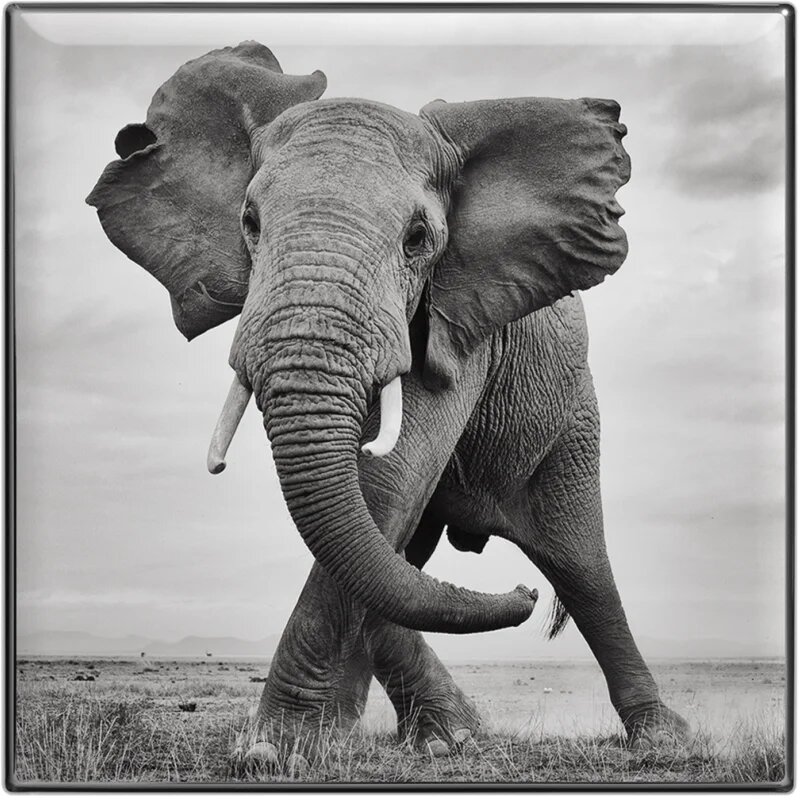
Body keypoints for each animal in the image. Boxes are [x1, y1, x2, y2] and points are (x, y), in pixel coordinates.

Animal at [87, 42, 689, 767]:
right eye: (249, 224)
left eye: (418, 237)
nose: (521, 595)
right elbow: (377, 527)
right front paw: (331, 743)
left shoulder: (457, 321)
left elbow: (386, 483)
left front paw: (277, 750)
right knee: (409, 558)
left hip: (570, 416)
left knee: (580, 566)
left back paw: (663, 742)